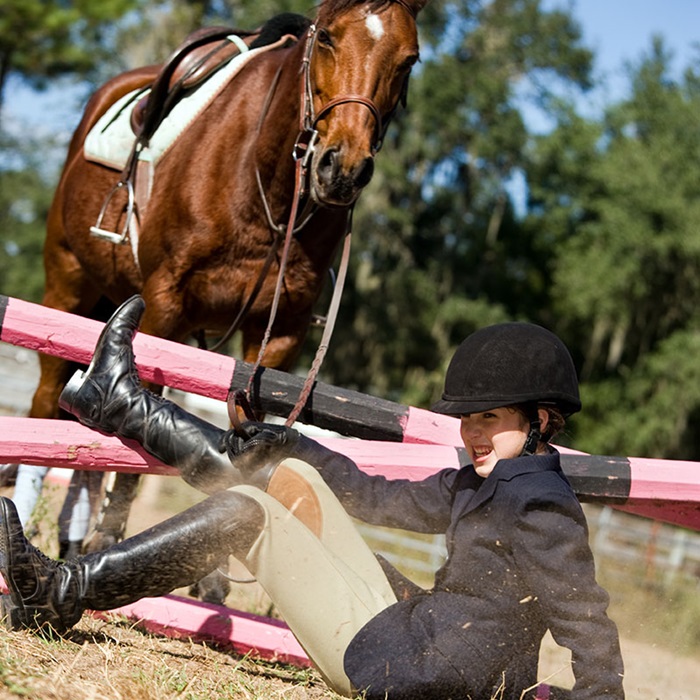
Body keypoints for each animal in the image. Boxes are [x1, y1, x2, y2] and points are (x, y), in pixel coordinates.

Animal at [27, 0, 426, 560]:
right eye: (327, 37)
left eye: (409, 60)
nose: (342, 169)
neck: (263, 177)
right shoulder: (165, 307)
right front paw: (110, 536)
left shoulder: (280, 335)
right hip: (67, 286)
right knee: (46, 401)